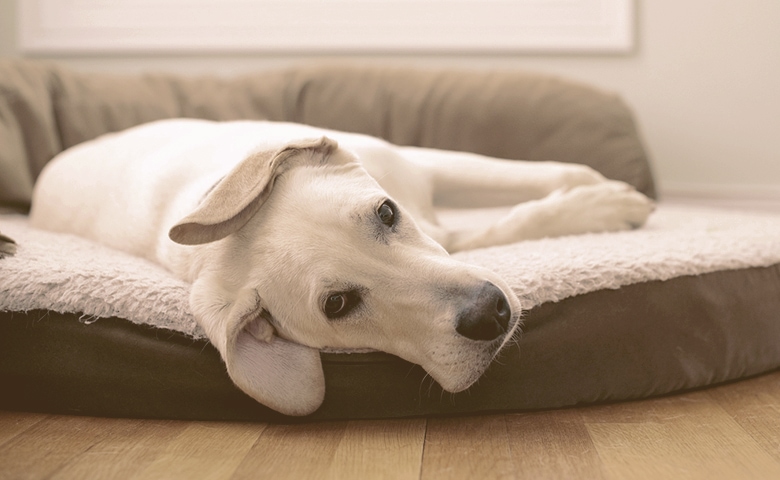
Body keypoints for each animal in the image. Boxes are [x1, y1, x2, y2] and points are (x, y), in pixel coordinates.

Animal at [29, 118, 652, 414]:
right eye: (338, 304)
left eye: (386, 212)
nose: (491, 315)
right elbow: (506, 223)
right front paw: (599, 207)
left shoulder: (420, 170)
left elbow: (530, 176)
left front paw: (601, 194)